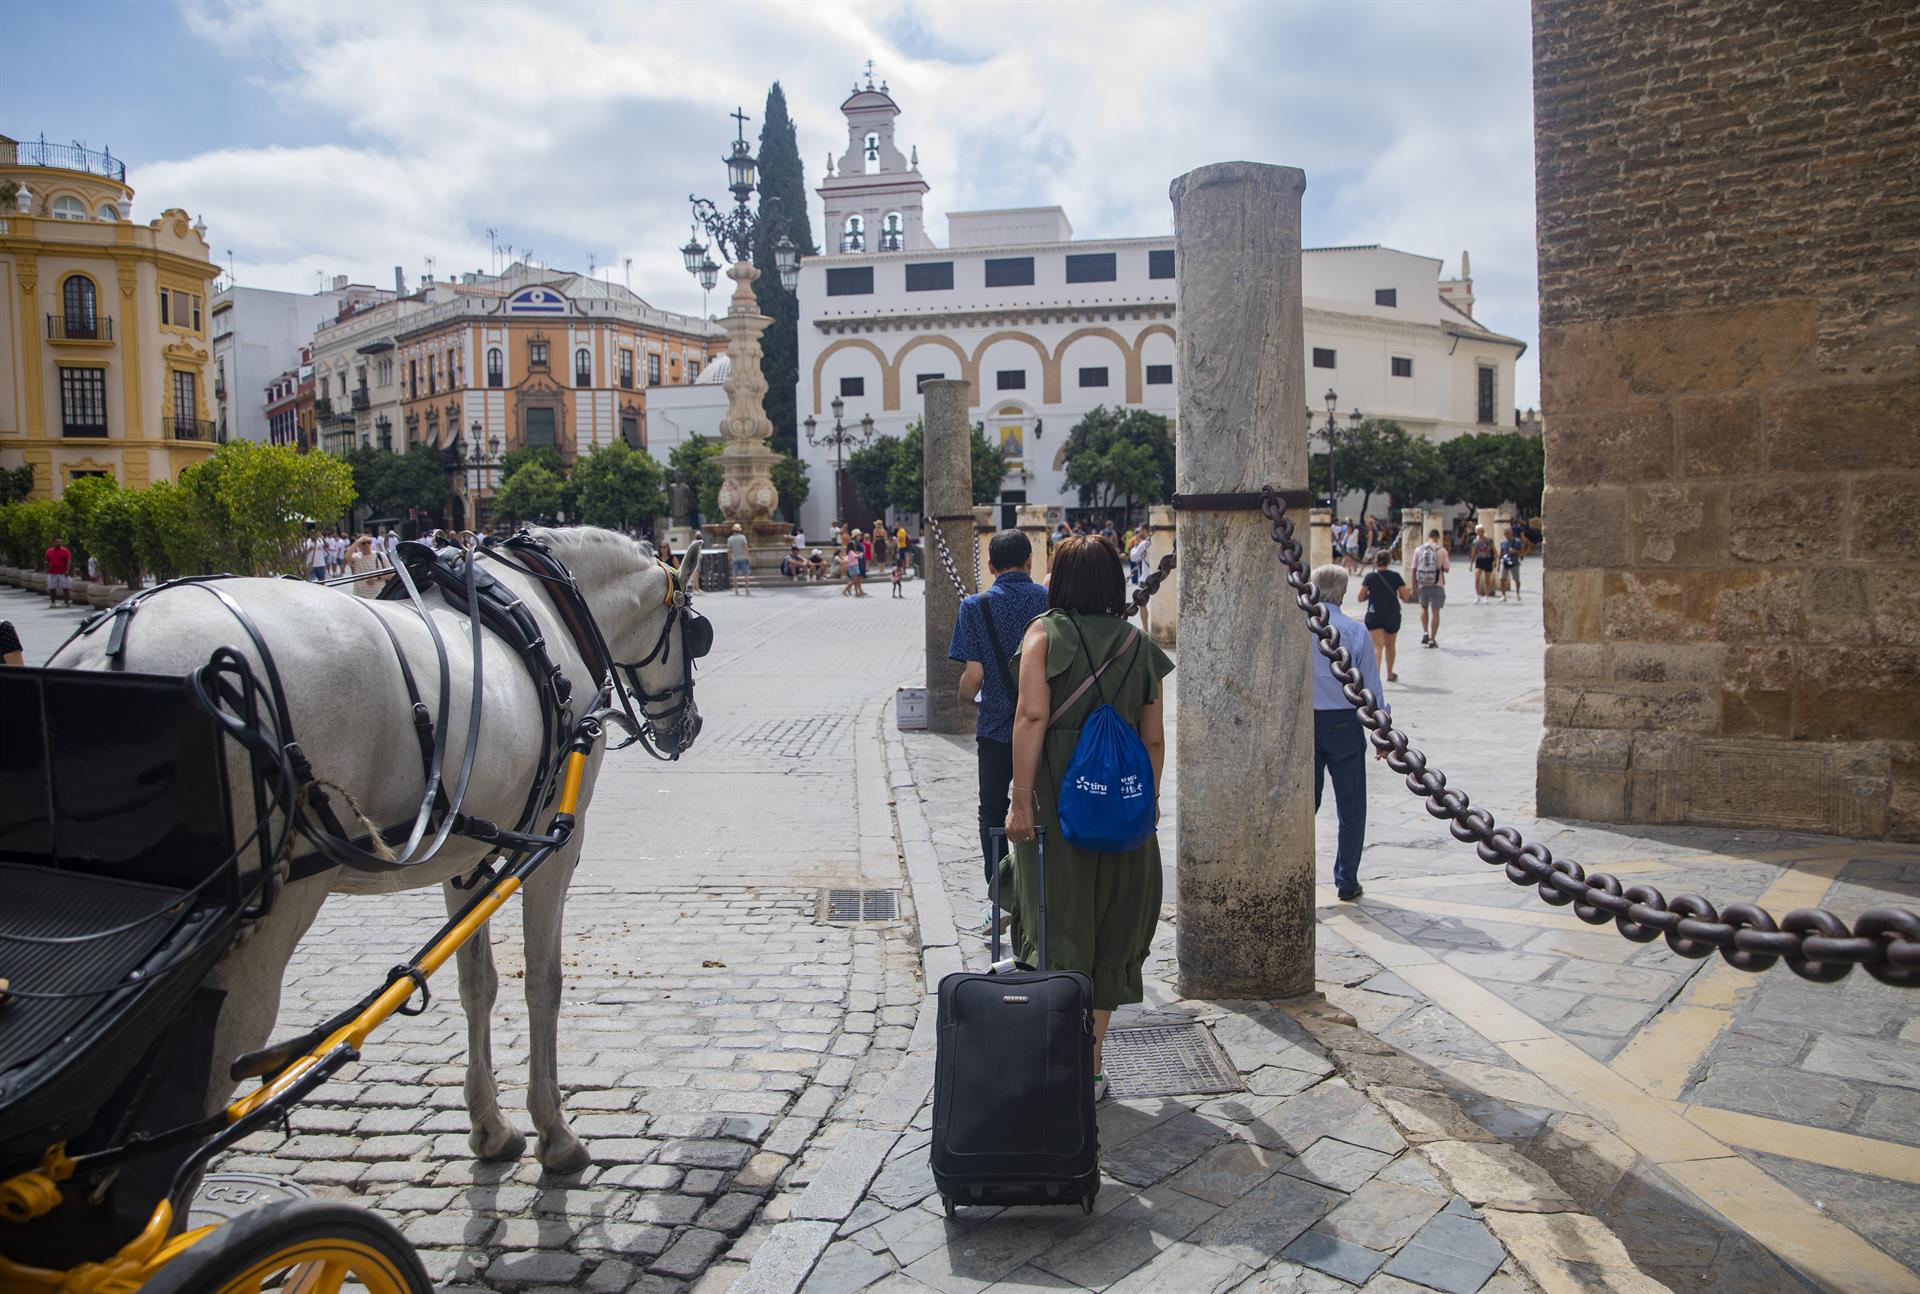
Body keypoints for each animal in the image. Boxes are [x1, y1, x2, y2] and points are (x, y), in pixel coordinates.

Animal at [52, 522, 706, 1167]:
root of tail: (108, 649)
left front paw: (490, 1126)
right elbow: (542, 981)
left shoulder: (466, 849)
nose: (691, 725)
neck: (547, 600)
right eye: (695, 631)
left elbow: (476, 981)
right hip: (266, 922)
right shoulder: (553, 845)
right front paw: (555, 1132)